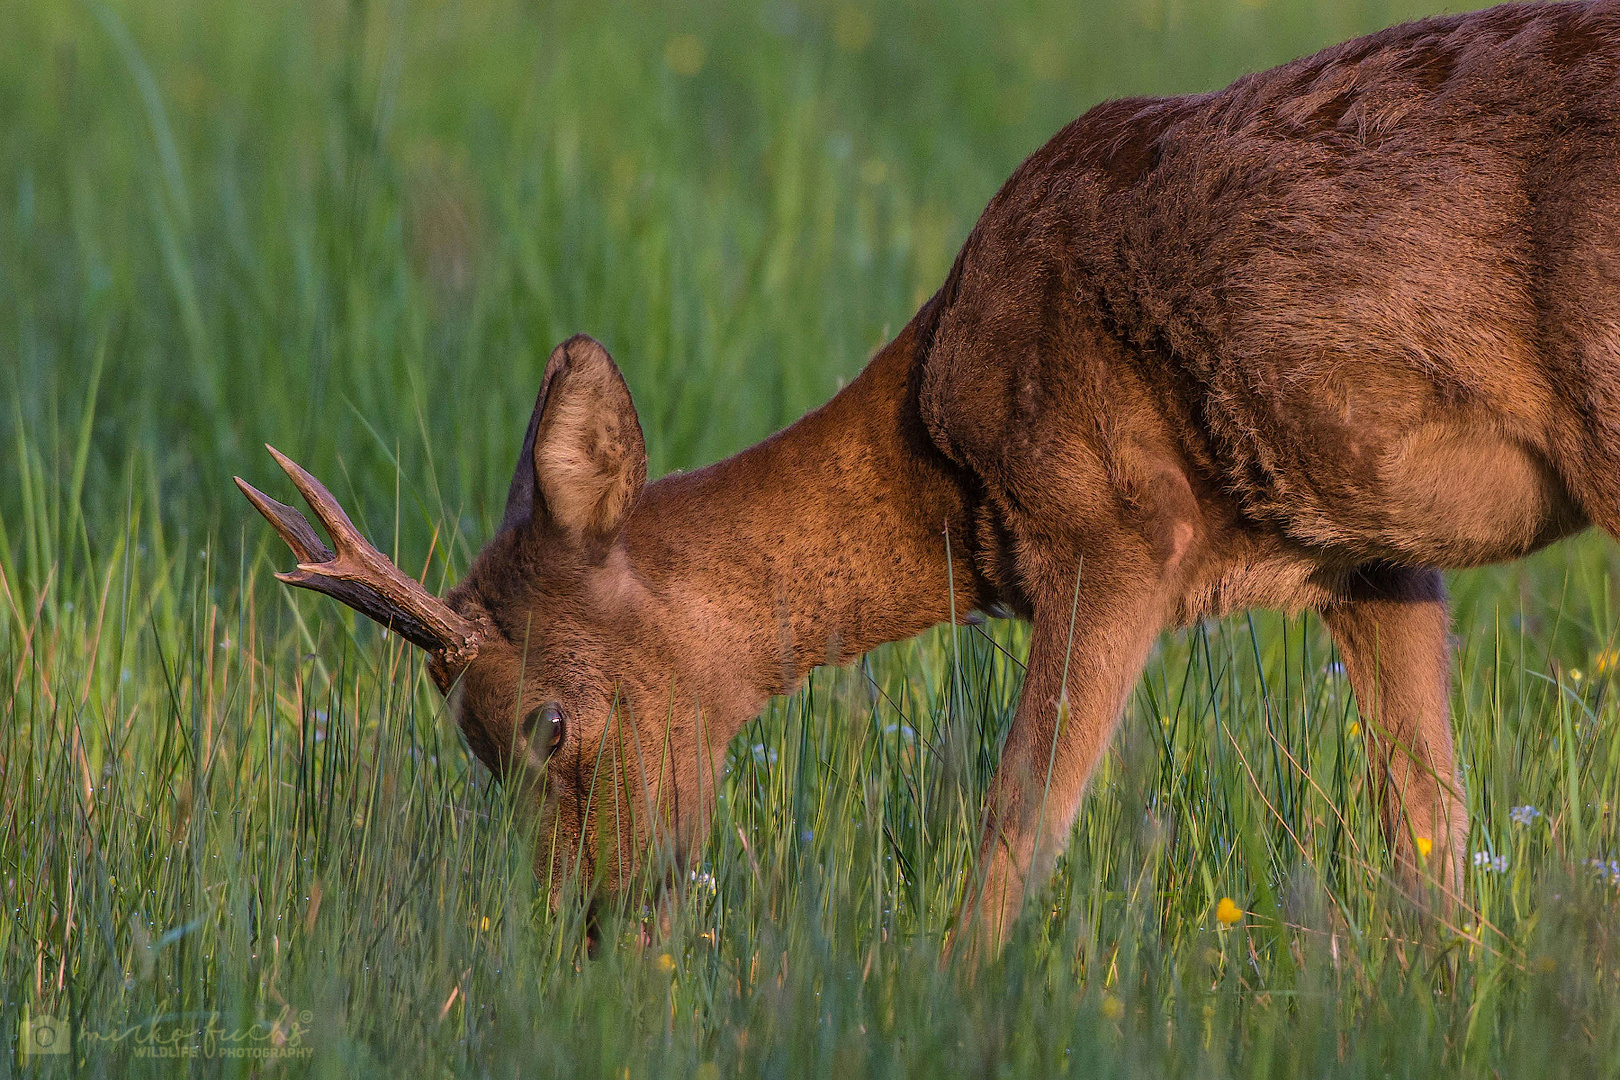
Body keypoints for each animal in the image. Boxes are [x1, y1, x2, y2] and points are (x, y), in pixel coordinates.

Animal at [239, 0, 1620, 958]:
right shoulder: (1371, 552)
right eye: (470, 747)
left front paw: (954, 996)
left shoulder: (1117, 528)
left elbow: (1017, 830)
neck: (943, 463)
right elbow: (1431, 841)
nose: (585, 923)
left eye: (546, 723)